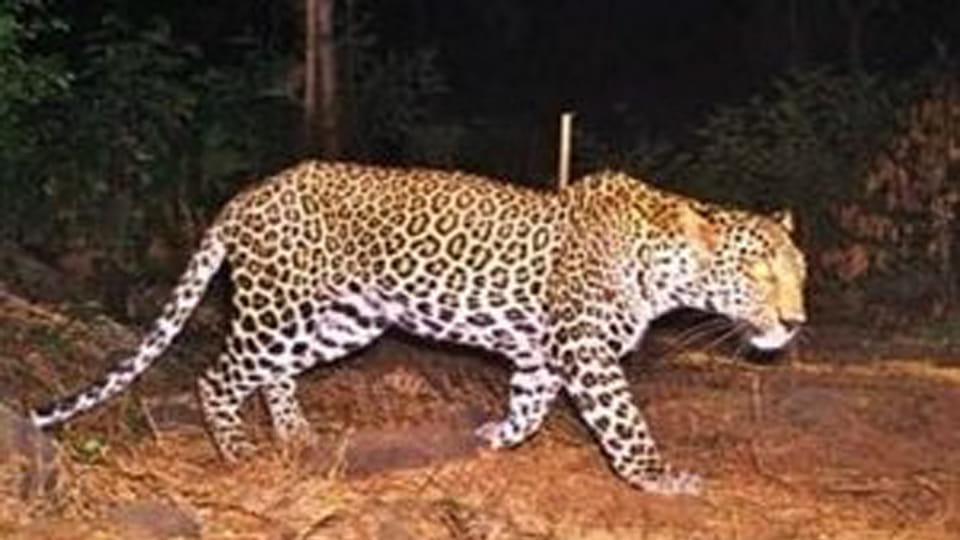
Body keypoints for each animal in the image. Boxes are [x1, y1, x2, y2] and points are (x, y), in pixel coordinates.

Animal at [31, 160, 807, 495]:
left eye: (800, 273)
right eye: (757, 273)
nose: (796, 321)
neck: (658, 264)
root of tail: (249, 193)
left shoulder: (542, 356)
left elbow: (528, 407)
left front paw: (492, 439)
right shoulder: (585, 351)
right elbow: (624, 422)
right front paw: (656, 477)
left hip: (342, 321)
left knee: (274, 374)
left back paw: (296, 436)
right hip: (279, 310)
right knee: (217, 376)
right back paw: (240, 453)